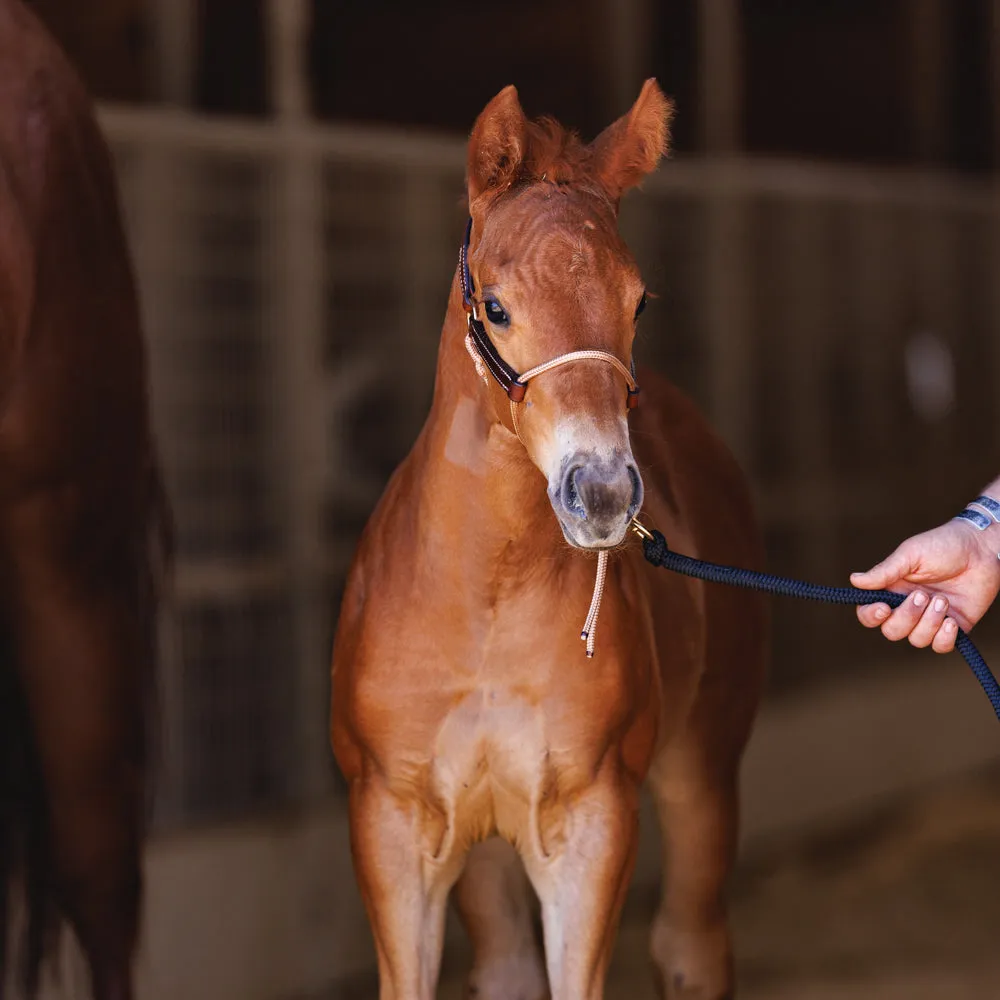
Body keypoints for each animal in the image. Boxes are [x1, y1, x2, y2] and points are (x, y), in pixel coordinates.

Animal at [332, 80, 768, 1000]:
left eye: (638, 300)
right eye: (496, 307)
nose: (600, 492)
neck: (484, 605)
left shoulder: (591, 818)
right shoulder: (391, 820)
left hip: (703, 772)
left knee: (691, 944)